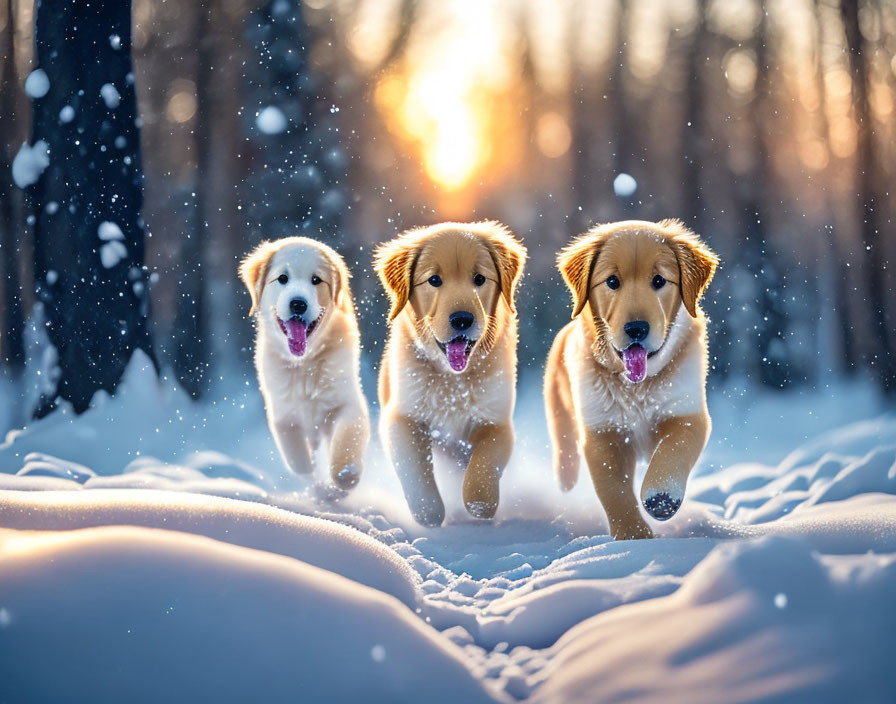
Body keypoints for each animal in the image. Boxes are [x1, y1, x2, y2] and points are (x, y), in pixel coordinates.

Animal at [238, 238, 372, 490]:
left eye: (316, 280)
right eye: (282, 278)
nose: (298, 304)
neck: (304, 365)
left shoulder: (347, 401)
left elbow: (347, 439)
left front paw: (345, 475)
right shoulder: (283, 414)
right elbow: (297, 459)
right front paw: (316, 483)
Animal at [372, 223, 524, 524]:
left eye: (479, 278)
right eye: (434, 280)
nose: (462, 319)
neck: (453, 379)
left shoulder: (496, 420)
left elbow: (485, 462)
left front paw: (479, 503)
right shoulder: (401, 417)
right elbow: (414, 468)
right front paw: (428, 511)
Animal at [544, 220, 716, 540]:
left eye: (659, 280)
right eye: (612, 282)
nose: (636, 328)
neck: (637, 385)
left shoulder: (686, 412)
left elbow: (674, 450)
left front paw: (662, 496)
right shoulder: (602, 430)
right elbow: (614, 490)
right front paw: (633, 536)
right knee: (565, 450)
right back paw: (566, 480)